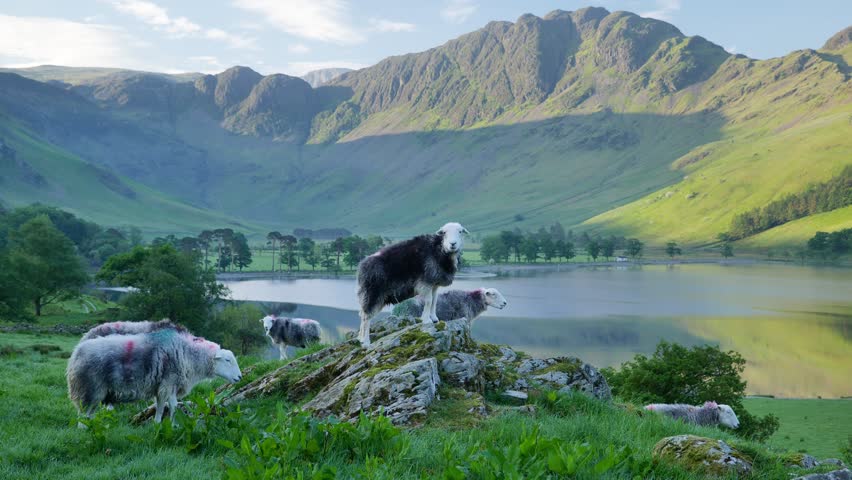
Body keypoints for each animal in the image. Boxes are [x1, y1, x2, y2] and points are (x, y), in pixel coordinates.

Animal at [66, 328, 242, 423]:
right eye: (227, 360)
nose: (240, 378)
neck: (189, 354)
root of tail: (75, 353)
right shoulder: (169, 382)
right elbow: (173, 405)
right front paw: (173, 424)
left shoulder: (163, 386)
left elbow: (161, 405)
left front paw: (158, 423)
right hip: (89, 389)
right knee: (82, 415)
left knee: (87, 414)